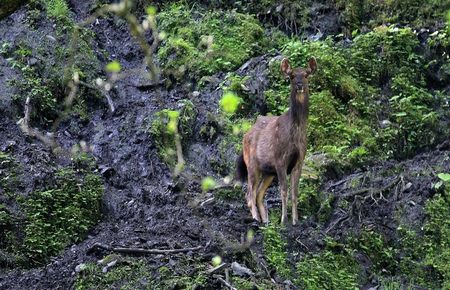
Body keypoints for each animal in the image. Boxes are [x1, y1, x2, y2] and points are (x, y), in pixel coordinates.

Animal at [236, 56, 316, 224]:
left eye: (306, 75)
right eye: (292, 76)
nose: (299, 85)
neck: (295, 135)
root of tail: (246, 135)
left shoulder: (299, 161)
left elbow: (295, 192)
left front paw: (295, 221)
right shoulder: (280, 160)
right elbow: (284, 190)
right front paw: (283, 220)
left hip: (268, 172)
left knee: (259, 194)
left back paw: (265, 221)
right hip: (251, 163)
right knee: (250, 193)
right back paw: (256, 219)